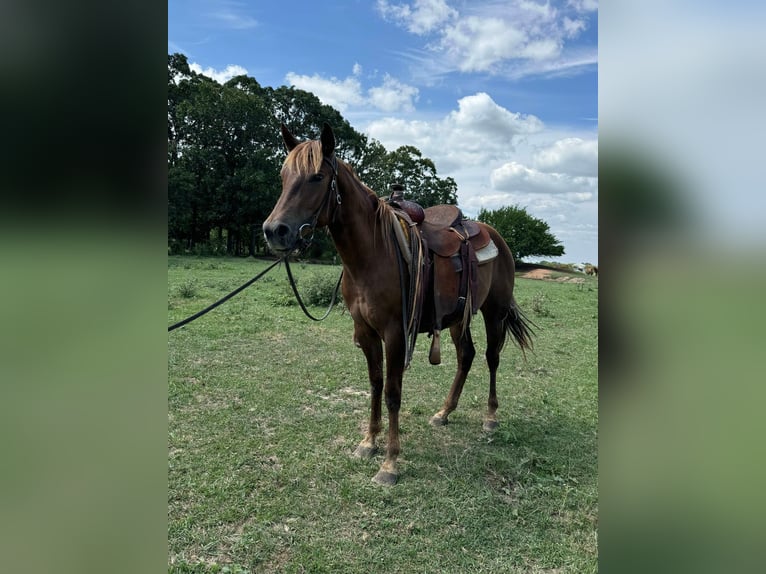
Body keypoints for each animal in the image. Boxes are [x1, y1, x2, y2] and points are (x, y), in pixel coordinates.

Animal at [264, 122, 536, 486]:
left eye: (317, 177)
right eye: (283, 176)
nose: (274, 231)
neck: (373, 254)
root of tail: (495, 236)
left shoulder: (395, 333)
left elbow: (393, 392)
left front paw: (390, 463)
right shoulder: (365, 332)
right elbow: (375, 383)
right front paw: (369, 442)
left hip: (495, 312)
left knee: (492, 357)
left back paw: (490, 417)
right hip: (458, 317)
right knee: (466, 356)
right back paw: (444, 412)